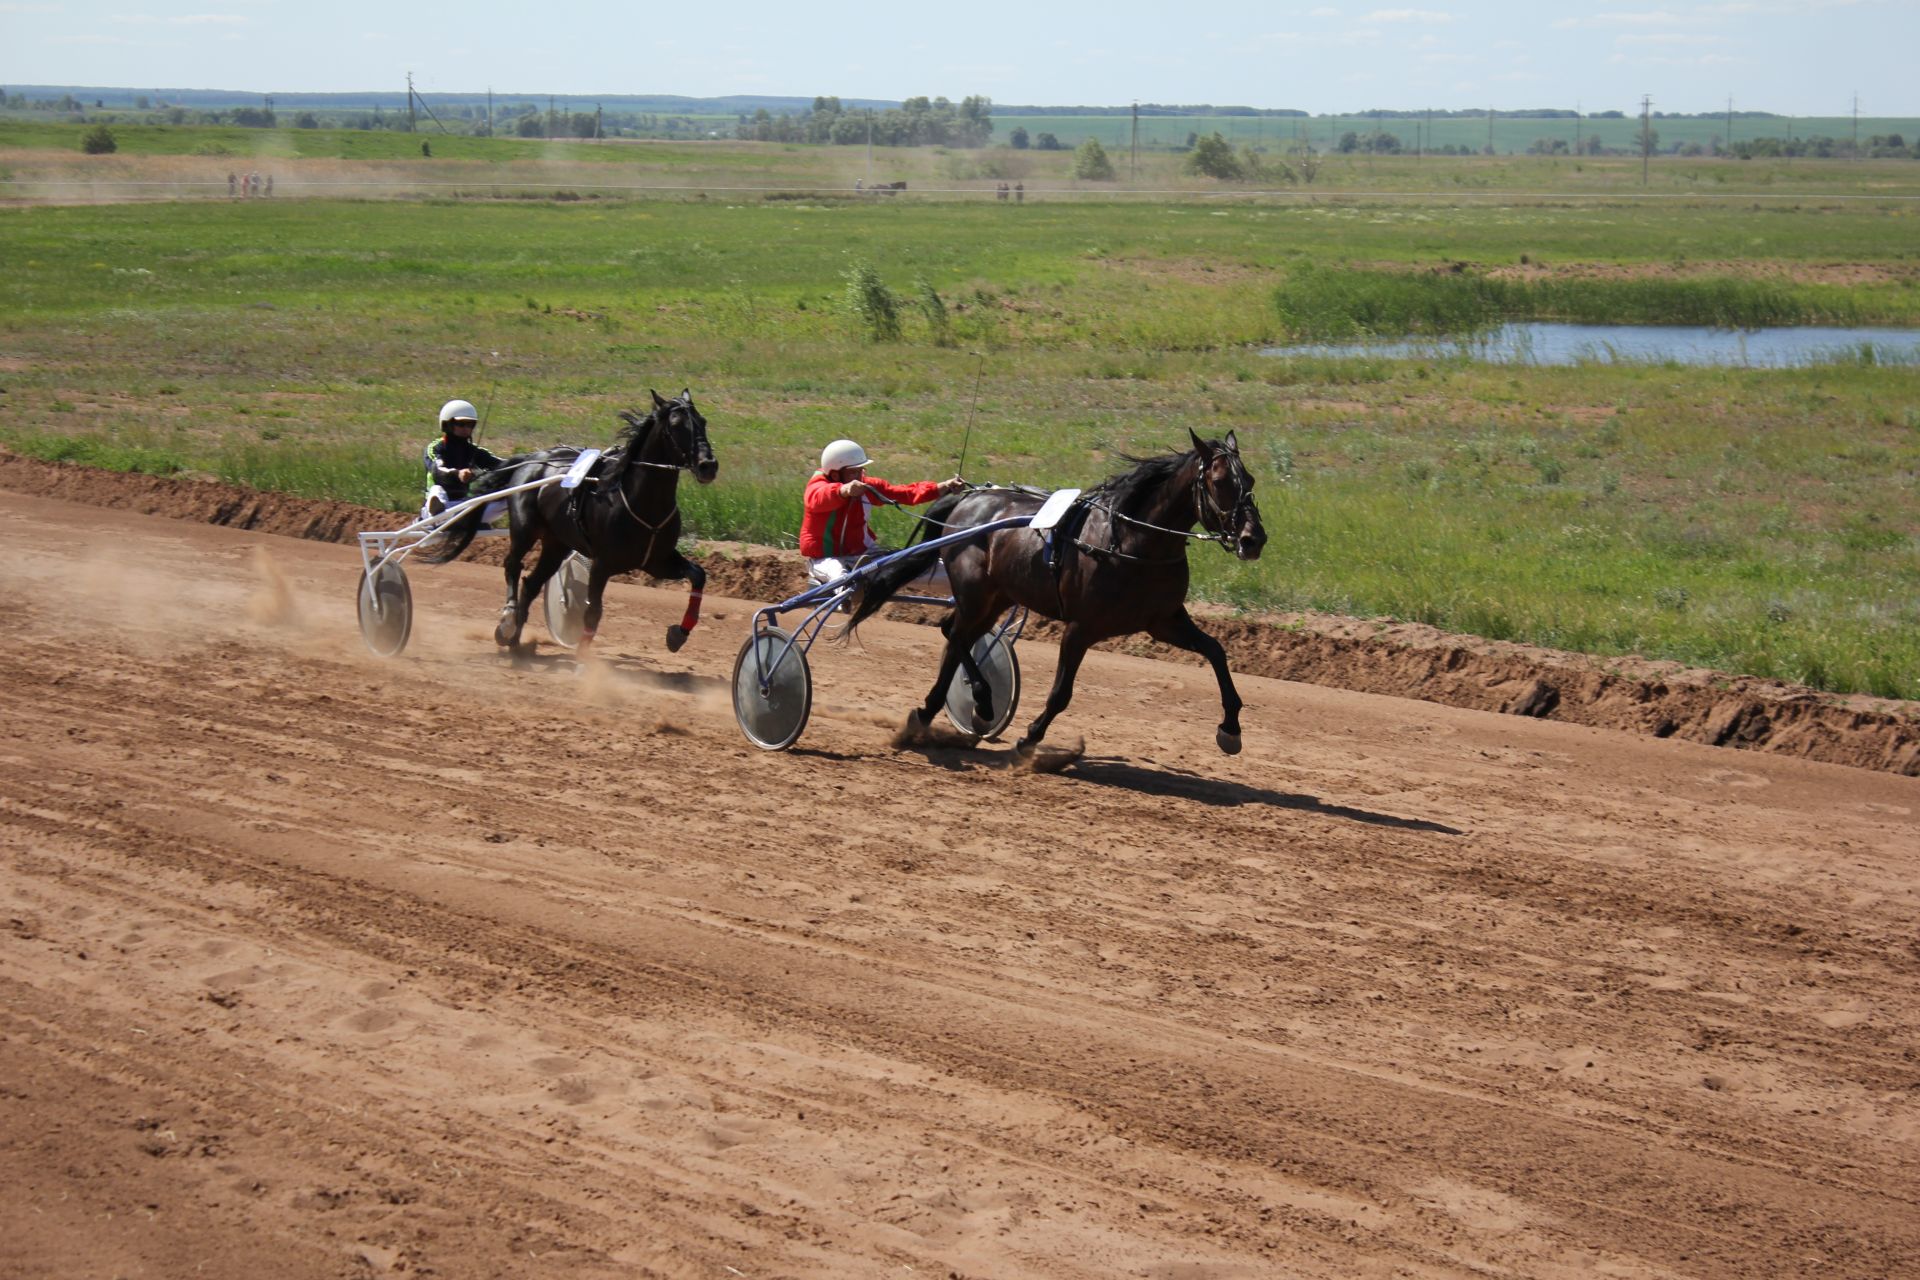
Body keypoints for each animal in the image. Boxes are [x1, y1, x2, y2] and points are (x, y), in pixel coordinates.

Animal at [416, 385, 718, 656]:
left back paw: (514, 642)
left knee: (531, 583)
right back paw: (507, 623)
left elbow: (698, 575)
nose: (708, 466)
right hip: (524, 529)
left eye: (702, 421)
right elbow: (593, 611)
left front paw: (678, 634)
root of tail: (532, 459)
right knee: (512, 565)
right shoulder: (603, 564)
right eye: (677, 424)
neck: (639, 500)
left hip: (556, 543)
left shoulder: (655, 560)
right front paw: (584, 665)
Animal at [848, 429, 1267, 756]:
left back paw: (967, 706)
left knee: (954, 633)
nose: (1254, 539)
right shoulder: (1081, 627)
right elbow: (1061, 692)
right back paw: (942, 709)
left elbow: (1216, 651)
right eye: (1219, 482)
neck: (1130, 542)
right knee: (956, 637)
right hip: (976, 593)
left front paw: (1230, 729)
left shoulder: (1163, 620)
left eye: (1249, 480)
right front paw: (1031, 738)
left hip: (997, 596)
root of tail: (968, 498)